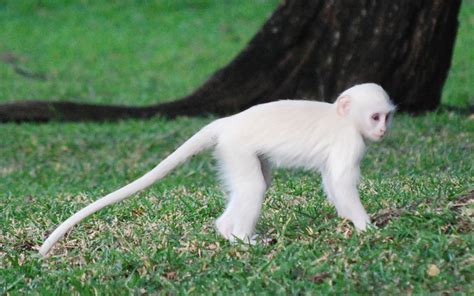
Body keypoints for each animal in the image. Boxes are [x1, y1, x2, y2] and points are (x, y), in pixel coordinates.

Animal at [39, 82, 396, 256]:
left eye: (386, 116)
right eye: (375, 117)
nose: (383, 130)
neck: (343, 118)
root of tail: (228, 122)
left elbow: (332, 181)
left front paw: (348, 219)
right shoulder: (351, 140)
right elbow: (341, 180)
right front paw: (366, 227)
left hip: (233, 151)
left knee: (256, 183)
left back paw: (229, 233)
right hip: (235, 147)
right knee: (254, 187)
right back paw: (239, 239)